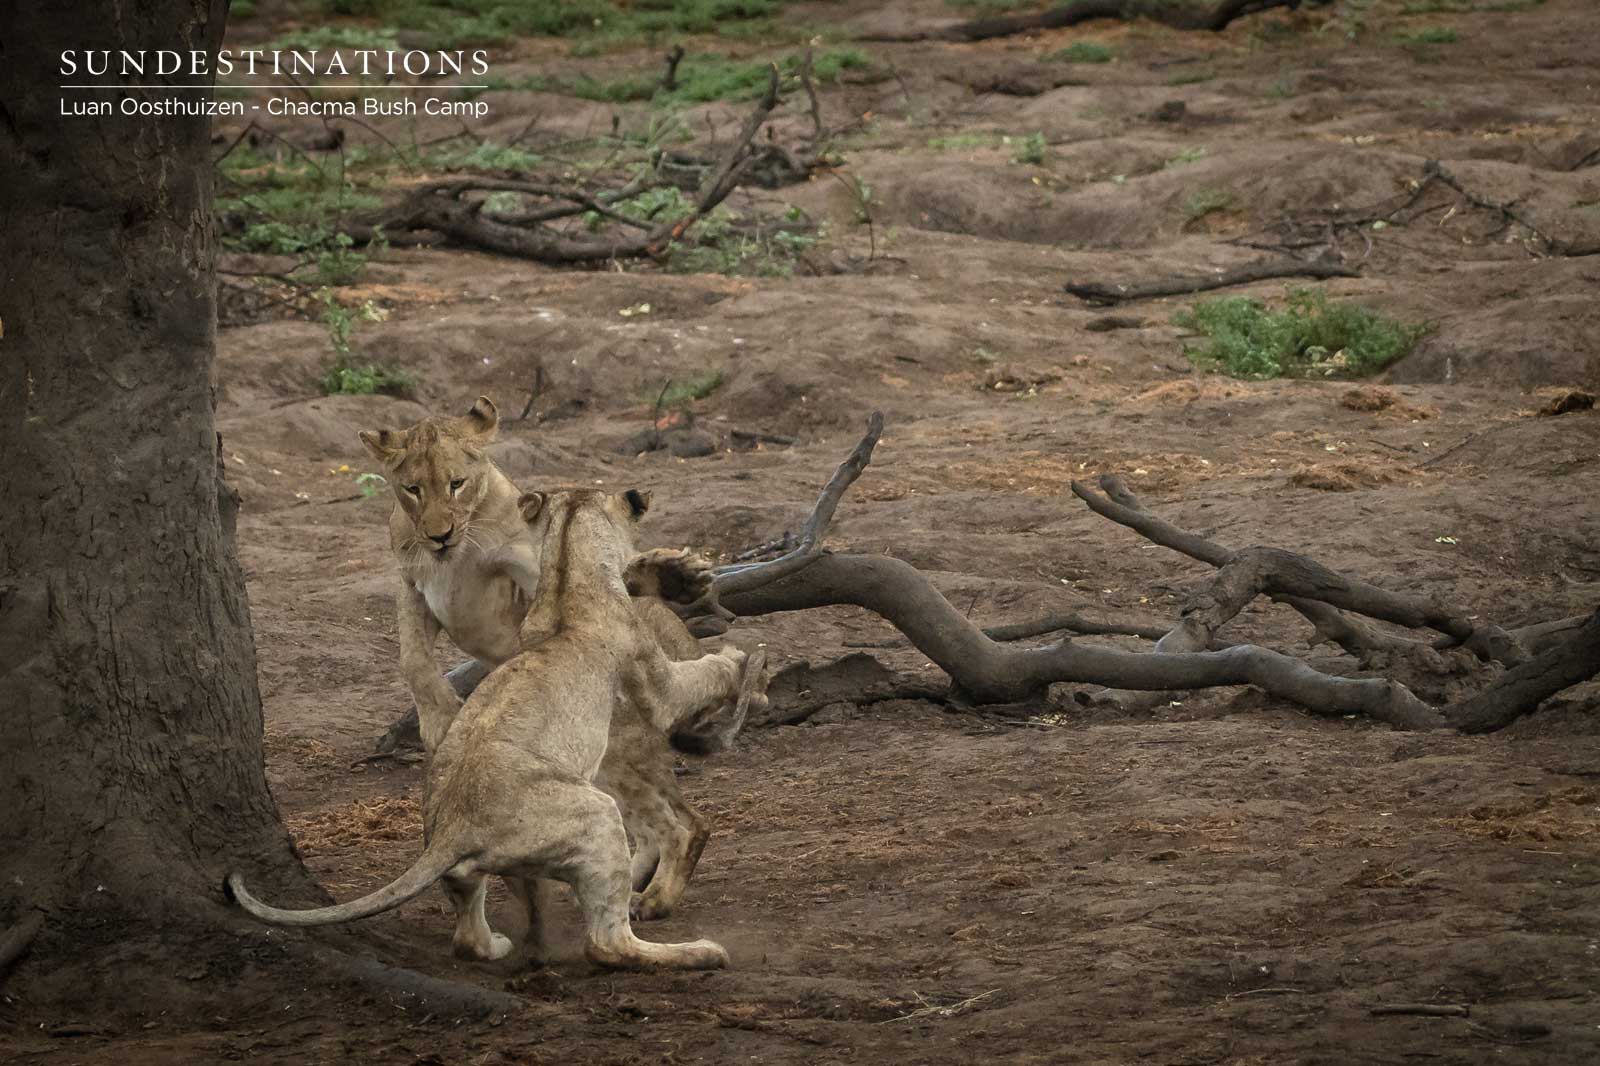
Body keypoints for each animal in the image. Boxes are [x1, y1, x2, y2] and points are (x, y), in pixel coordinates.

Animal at [228, 488, 743, 970]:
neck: (566, 572)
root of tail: (453, 829)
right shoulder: (655, 682)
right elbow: (698, 677)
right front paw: (734, 659)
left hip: (465, 851)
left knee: (468, 933)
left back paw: (500, 944)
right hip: (596, 812)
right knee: (608, 942)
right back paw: (698, 951)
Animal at [356, 396, 755, 919]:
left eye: (456, 483)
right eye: (412, 490)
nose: (440, 535)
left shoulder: (528, 565)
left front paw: (670, 574)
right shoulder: (412, 582)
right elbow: (413, 660)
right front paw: (440, 716)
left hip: (620, 746)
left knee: (684, 820)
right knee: (648, 824)